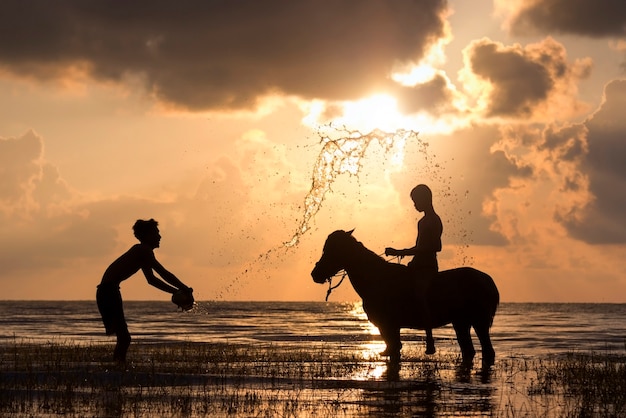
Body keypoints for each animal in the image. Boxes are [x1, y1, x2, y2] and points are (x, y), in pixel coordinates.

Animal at [310, 229, 498, 370]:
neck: (377, 278)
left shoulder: (388, 326)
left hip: (479, 322)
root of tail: (488, 281)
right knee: (469, 350)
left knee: (487, 351)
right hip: (461, 323)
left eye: (331, 250)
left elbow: (394, 350)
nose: (315, 274)